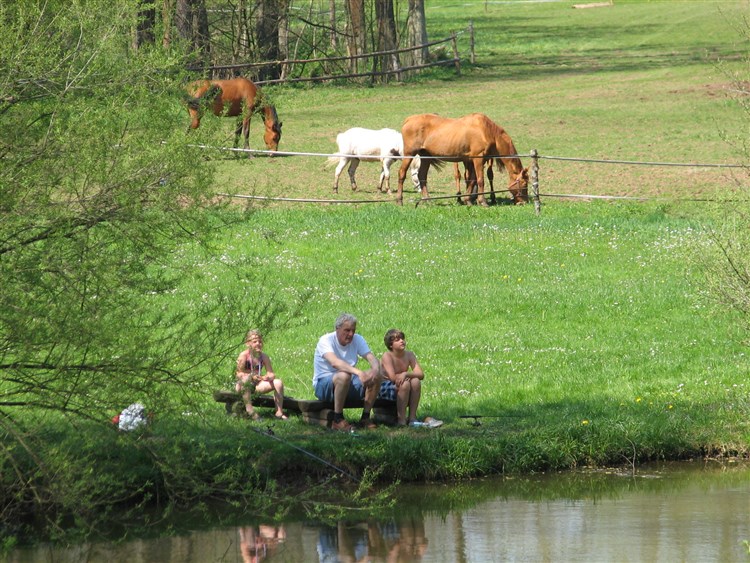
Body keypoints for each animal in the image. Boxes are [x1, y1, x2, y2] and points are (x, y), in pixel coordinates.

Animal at [396, 112, 532, 207]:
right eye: (524, 184)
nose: (523, 202)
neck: (487, 131)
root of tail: (408, 120)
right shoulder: (478, 159)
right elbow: (480, 180)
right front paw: (482, 201)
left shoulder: (475, 160)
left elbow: (472, 180)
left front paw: (468, 200)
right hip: (409, 154)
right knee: (402, 173)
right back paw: (399, 200)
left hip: (426, 157)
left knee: (422, 176)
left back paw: (427, 200)